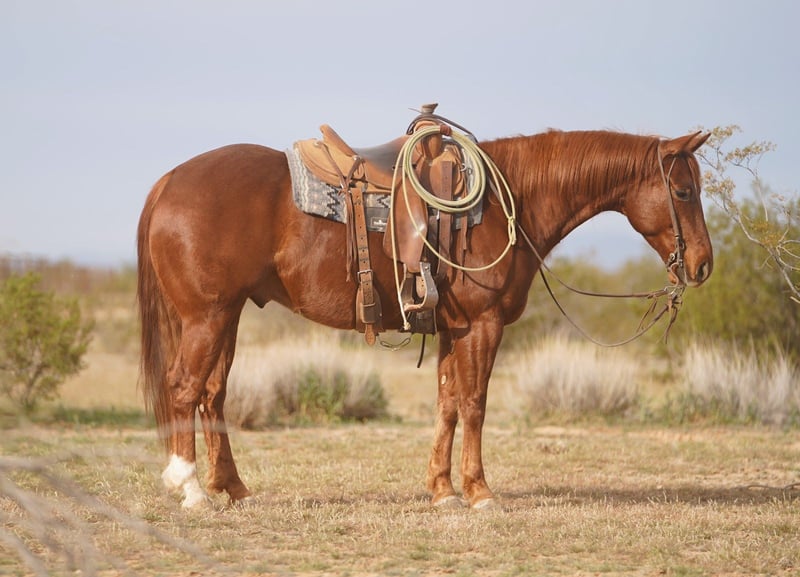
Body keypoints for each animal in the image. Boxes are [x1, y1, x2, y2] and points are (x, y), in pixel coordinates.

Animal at [137, 123, 712, 509]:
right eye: (684, 191)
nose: (703, 264)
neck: (511, 199)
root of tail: (168, 181)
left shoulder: (452, 329)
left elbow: (448, 404)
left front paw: (441, 489)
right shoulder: (482, 325)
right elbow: (475, 404)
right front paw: (479, 491)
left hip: (227, 316)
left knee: (213, 394)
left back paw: (232, 487)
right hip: (207, 317)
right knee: (185, 388)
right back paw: (189, 489)